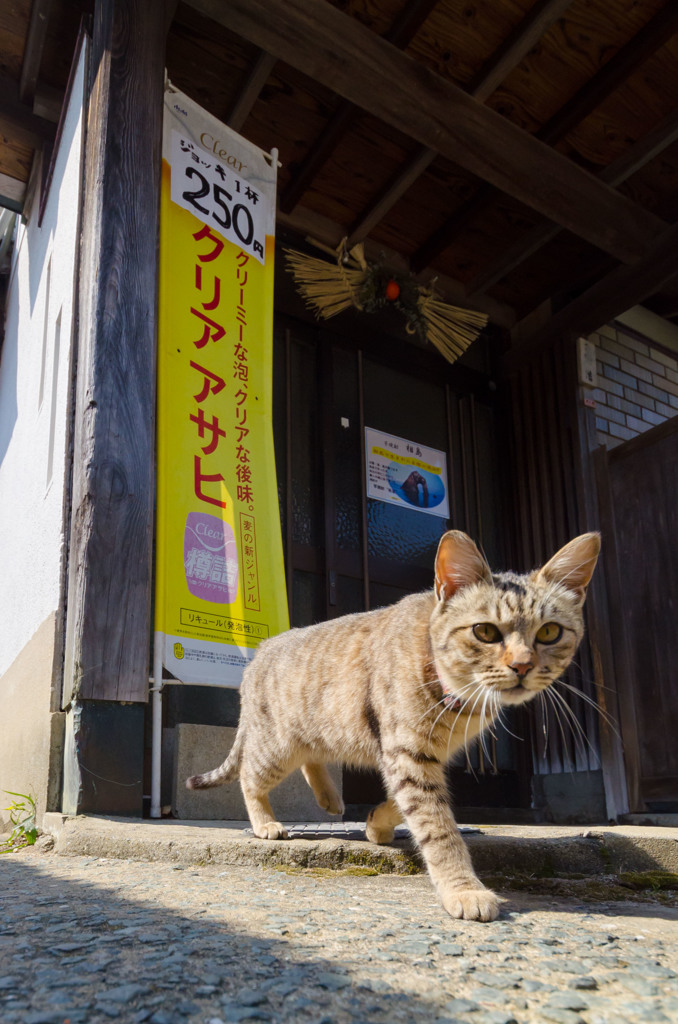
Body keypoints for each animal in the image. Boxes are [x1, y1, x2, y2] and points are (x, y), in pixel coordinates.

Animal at [186, 532, 602, 925]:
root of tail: (258, 654)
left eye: (549, 633)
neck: (458, 699)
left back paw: (331, 799)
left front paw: (376, 824)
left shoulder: (422, 756)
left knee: (312, 760)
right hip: (277, 745)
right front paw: (463, 889)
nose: (522, 665)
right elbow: (438, 827)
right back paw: (266, 823)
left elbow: (404, 806)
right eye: (485, 632)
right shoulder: (408, 753)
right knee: (250, 777)